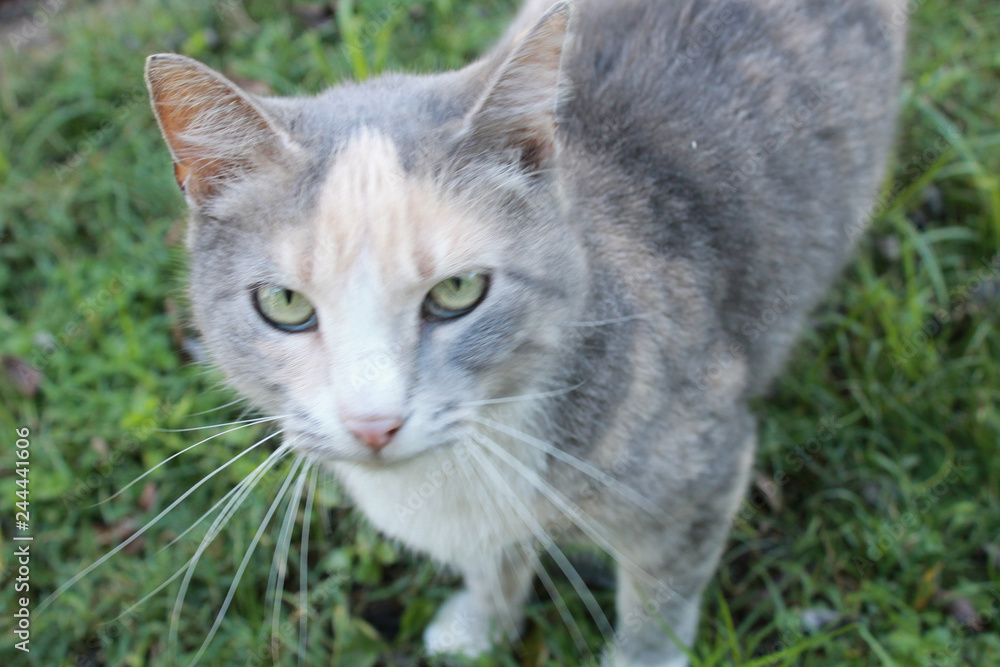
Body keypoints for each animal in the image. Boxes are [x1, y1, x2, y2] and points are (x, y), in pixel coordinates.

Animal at [146, 1, 908, 664]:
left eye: (457, 291)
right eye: (284, 303)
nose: (373, 423)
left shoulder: (702, 468)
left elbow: (660, 595)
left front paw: (642, 654)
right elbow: (492, 559)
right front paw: (482, 625)